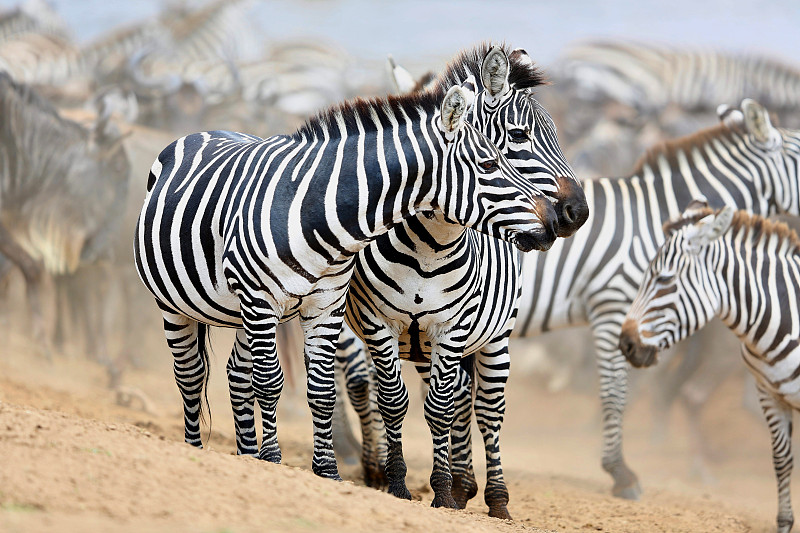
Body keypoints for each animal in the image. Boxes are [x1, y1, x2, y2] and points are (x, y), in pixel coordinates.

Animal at [133, 80, 556, 482]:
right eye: (488, 163)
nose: (553, 222)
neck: (317, 213)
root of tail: (200, 132)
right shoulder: (261, 298)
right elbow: (269, 381)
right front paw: (273, 461)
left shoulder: (325, 305)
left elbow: (321, 390)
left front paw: (327, 471)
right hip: (177, 304)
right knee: (191, 375)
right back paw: (196, 448)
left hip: (240, 312)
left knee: (237, 373)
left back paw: (246, 454)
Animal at [338, 43, 588, 516]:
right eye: (519, 136)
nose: (576, 213)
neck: (427, 244)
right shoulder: (379, 324)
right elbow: (392, 401)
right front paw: (397, 481)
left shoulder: (453, 328)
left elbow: (442, 408)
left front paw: (444, 491)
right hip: (421, 345)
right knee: (450, 398)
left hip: (494, 337)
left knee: (486, 409)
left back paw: (492, 497)